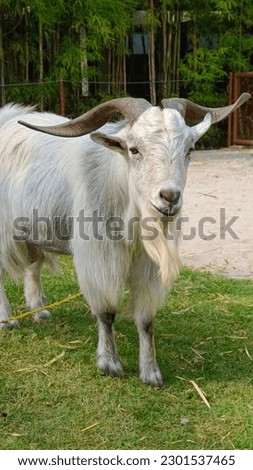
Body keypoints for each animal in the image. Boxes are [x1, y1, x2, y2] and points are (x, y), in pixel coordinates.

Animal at [0, 92, 249, 386]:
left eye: (189, 150)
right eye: (134, 149)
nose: (169, 197)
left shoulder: (147, 266)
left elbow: (146, 319)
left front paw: (151, 372)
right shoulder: (100, 257)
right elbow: (106, 312)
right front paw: (110, 364)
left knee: (34, 266)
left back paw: (39, 311)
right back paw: (8, 320)